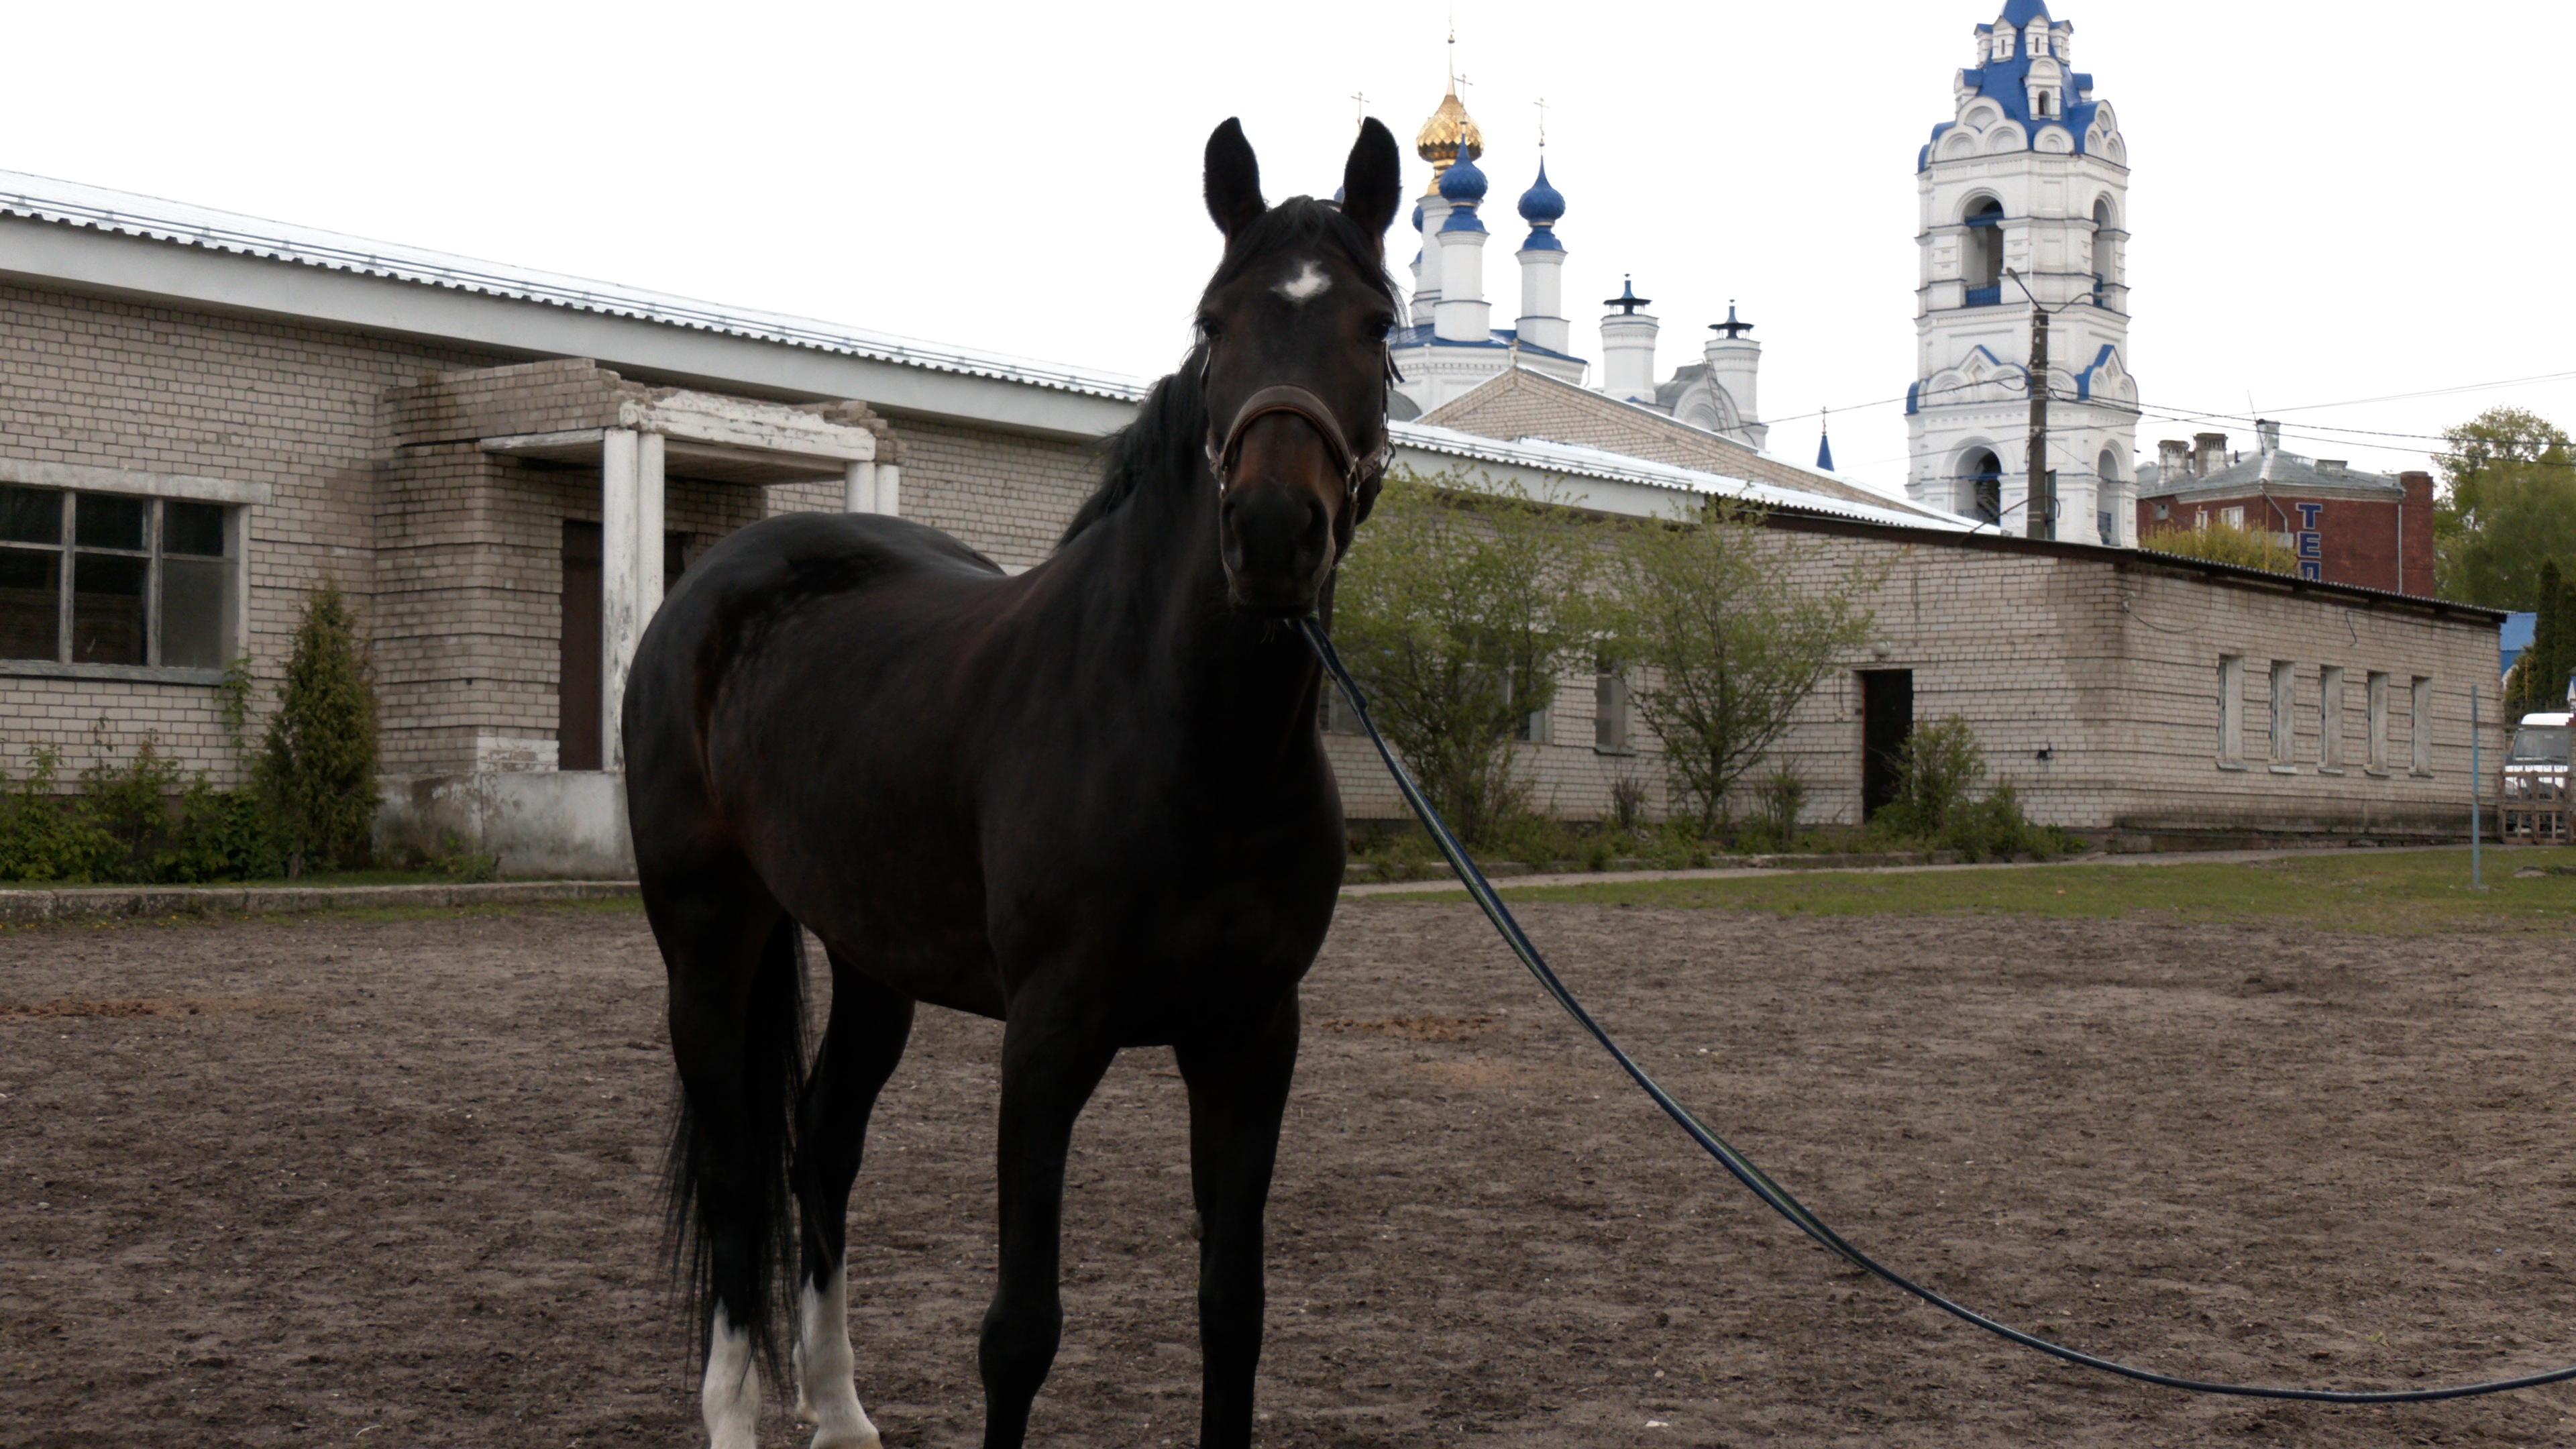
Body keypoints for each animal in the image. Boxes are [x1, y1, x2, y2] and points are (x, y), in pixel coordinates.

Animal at [622, 114, 1405, 1449]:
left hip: (871, 960)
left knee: (819, 1150)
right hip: (707, 938)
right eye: (1214, 323)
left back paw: (843, 1413)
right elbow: (1019, 1333)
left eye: (1379, 325)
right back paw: (736, 1414)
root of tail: (714, 580)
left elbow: (1232, 1310)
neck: (1187, 740)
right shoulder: (1048, 1039)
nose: (1271, 535)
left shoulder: (1251, 1036)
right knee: (734, 1170)